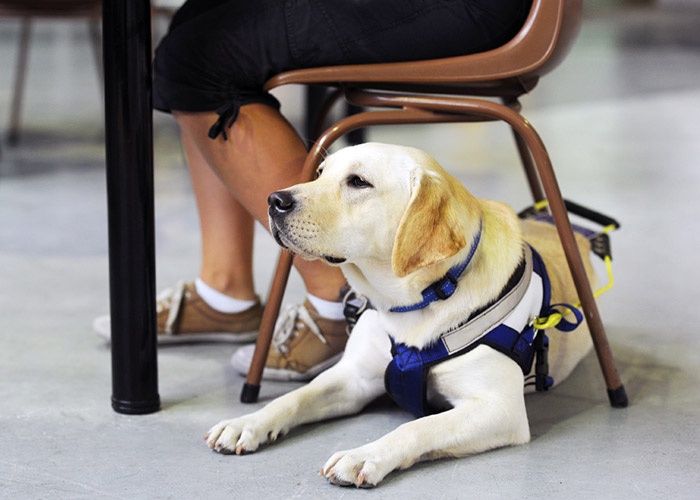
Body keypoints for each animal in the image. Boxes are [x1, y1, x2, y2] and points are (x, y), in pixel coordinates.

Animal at [205, 143, 592, 486]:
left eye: (358, 181)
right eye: (319, 173)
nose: (275, 200)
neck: (421, 300)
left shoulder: (499, 409)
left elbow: (418, 425)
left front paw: (363, 456)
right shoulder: (354, 378)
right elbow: (294, 397)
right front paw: (247, 422)